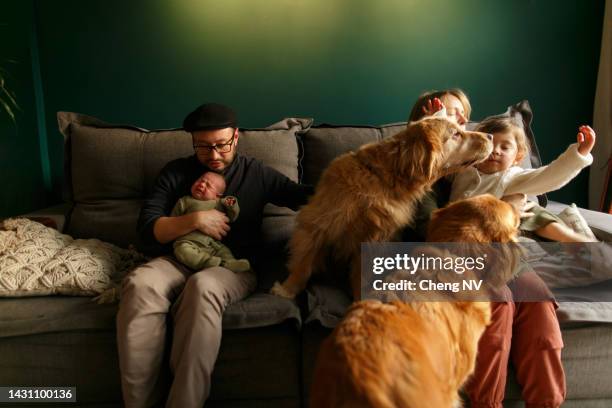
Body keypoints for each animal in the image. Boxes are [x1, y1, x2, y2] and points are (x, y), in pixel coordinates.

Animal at [272, 116, 492, 298]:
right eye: (456, 134)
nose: (490, 135)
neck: (382, 181)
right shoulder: (319, 221)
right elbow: (304, 263)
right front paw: (287, 290)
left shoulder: (375, 240)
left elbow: (361, 276)